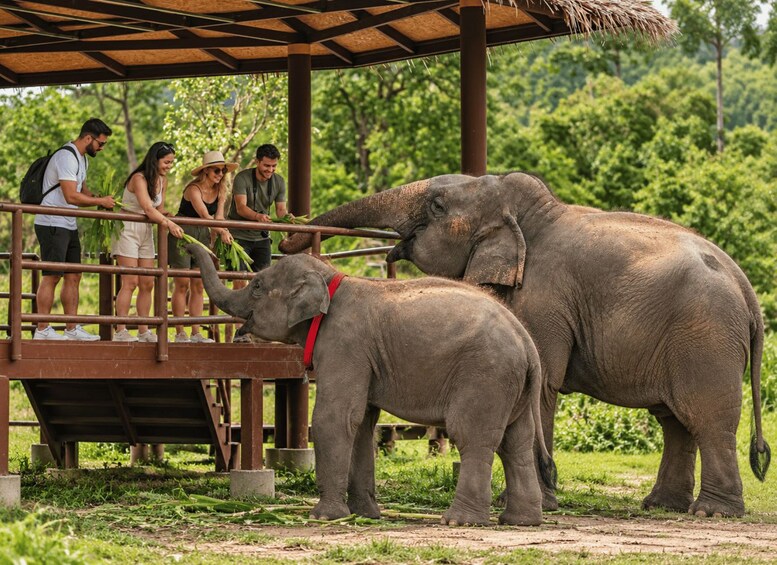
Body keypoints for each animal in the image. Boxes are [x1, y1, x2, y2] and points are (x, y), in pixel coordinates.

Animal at [188, 244, 557, 526]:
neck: (332, 278)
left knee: (472, 437)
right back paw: (521, 522)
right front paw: (365, 514)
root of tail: (527, 341)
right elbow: (363, 423)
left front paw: (325, 517)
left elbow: (335, 418)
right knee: (517, 443)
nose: (187, 245)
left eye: (257, 287)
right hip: (511, 384)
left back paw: (460, 521)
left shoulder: (344, 344)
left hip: (485, 375)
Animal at [279, 172, 771, 518]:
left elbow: (546, 384)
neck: (524, 212)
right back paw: (662, 506)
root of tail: (748, 292)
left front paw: (532, 500)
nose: (285, 234)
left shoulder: (544, 295)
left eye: (436, 207)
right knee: (674, 420)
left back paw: (712, 512)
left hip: (706, 337)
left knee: (706, 416)